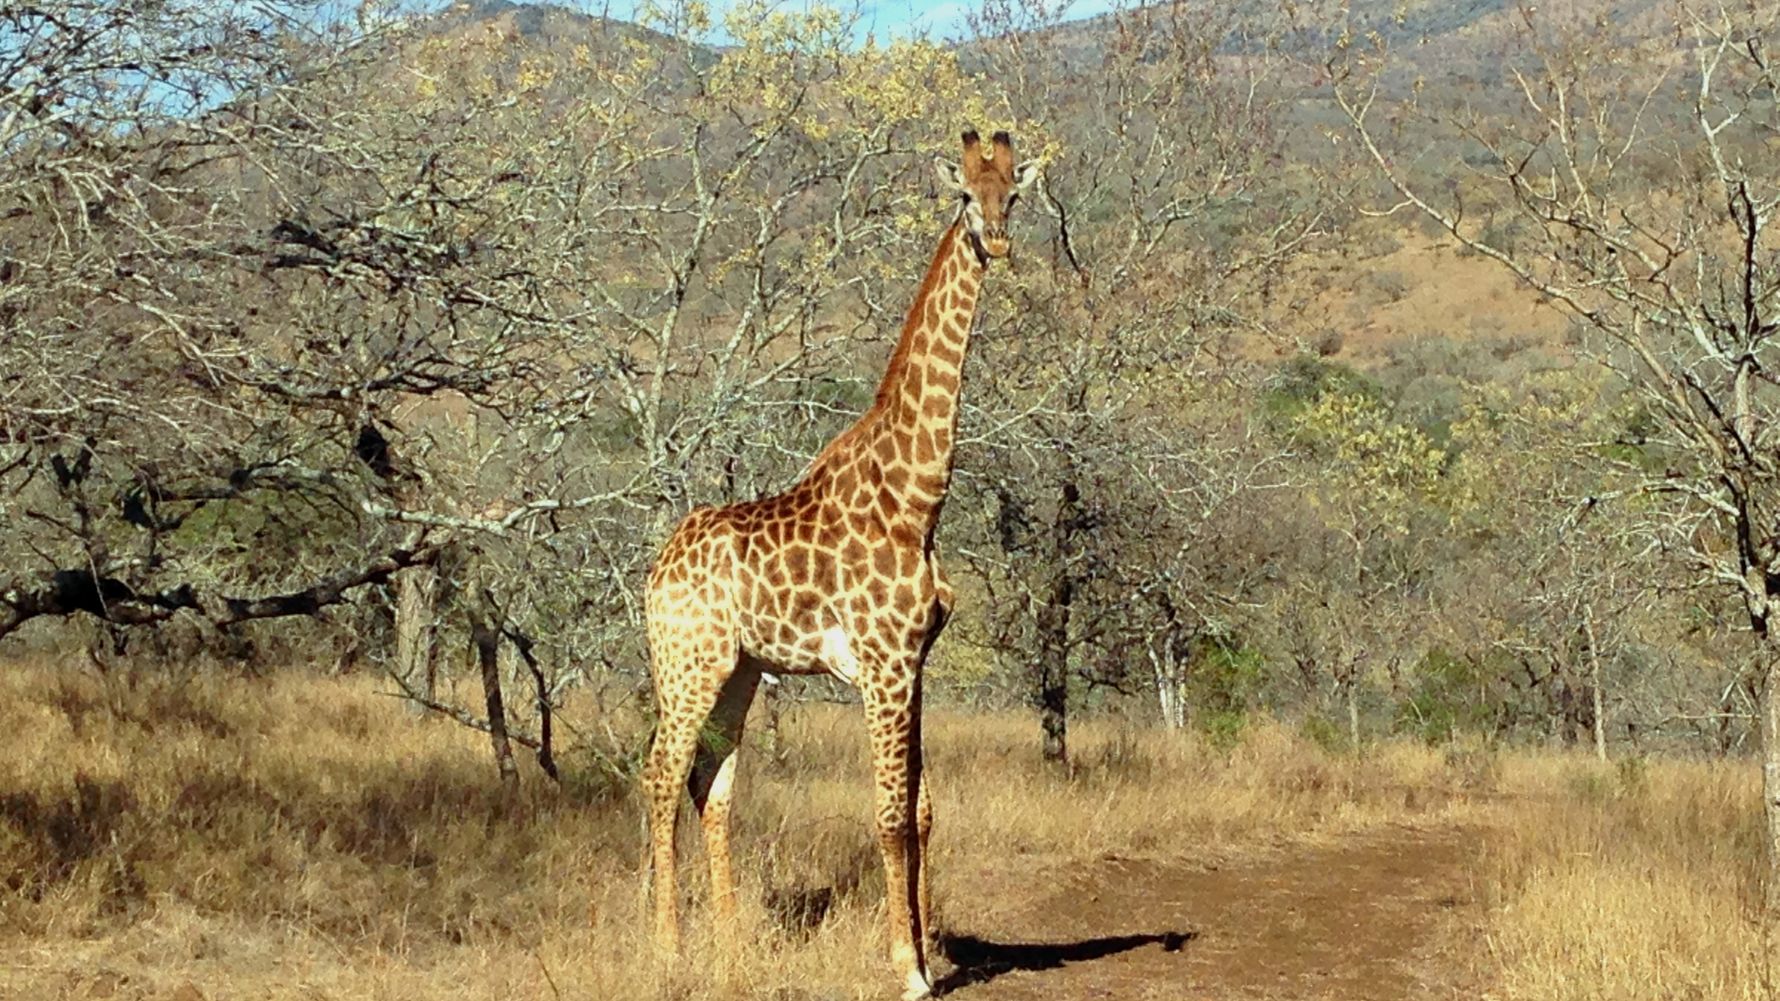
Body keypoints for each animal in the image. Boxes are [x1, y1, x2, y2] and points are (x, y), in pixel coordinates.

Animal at [641, 128, 1036, 1000]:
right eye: (965, 194)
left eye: (1015, 194)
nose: (997, 241)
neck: (918, 495)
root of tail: (654, 569)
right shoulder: (882, 664)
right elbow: (888, 816)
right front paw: (908, 969)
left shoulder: (913, 663)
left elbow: (922, 812)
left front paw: (927, 952)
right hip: (687, 661)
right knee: (659, 773)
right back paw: (668, 949)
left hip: (740, 668)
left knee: (709, 783)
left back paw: (729, 948)